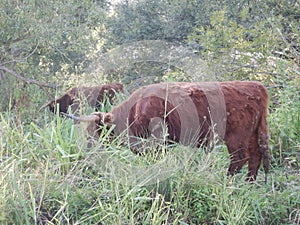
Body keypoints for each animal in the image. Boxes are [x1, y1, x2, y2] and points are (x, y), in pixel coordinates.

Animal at [64, 81, 270, 181]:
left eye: (94, 132)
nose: (87, 151)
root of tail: (255, 86)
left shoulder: (157, 142)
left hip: (236, 136)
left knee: (239, 159)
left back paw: (227, 183)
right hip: (252, 135)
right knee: (255, 157)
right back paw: (248, 184)